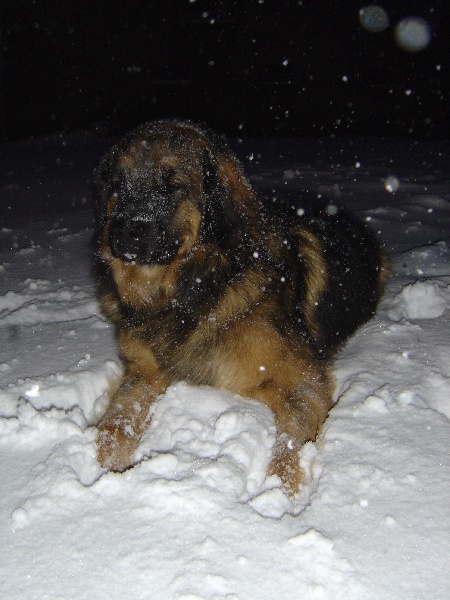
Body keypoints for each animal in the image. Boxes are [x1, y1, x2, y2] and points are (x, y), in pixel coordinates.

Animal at [94, 119, 386, 494]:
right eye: (118, 184)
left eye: (173, 184)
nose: (124, 230)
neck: (193, 292)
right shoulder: (143, 371)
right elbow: (115, 421)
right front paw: (105, 470)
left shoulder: (302, 382)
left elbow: (290, 443)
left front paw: (279, 491)